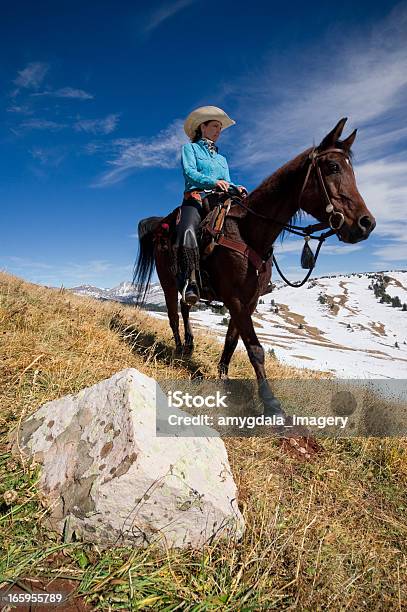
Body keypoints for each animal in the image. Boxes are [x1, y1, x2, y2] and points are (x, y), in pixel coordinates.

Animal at [134, 120, 376, 426]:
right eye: (332, 167)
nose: (367, 224)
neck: (249, 232)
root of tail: (160, 225)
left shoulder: (248, 302)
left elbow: (232, 340)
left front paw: (224, 378)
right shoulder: (235, 300)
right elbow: (256, 349)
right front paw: (272, 405)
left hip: (187, 285)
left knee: (185, 304)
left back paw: (189, 346)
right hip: (166, 280)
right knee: (173, 314)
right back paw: (179, 349)